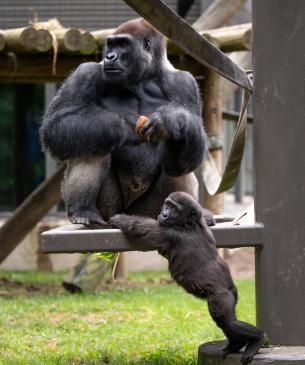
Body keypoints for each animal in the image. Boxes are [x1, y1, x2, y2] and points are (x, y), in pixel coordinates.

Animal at [39, 19, 204, 226]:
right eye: (111, 44)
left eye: (123, 44)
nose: (109, 56)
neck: (144, 78)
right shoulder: (86, 72)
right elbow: (58, 123)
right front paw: (125, 126)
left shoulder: (185, 82)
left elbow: (193, 150)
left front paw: (170, 122)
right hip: (110, 211)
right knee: (92, 138)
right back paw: (83, 210)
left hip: (148, 213)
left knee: (176, 166)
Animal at [109, 192, 264, 362]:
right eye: (167, 205)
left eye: (174, 209)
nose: (164, 214)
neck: (190, 224)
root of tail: (229, 288)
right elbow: (208, 218)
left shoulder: (167, 231)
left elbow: (136, 226)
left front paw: (117, 219)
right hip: (232, 297)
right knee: (229, 321)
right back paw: (236, 343)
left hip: (221, 296)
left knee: (226, 321)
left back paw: (256, 339)